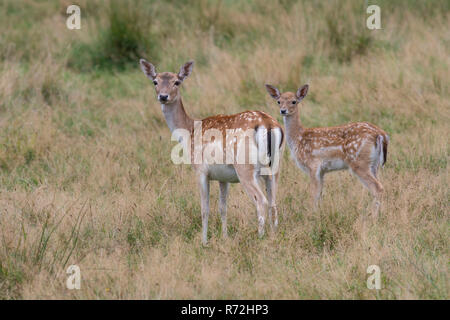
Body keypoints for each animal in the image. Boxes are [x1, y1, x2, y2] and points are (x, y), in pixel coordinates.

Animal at [140, 59, 284, 245]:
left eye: (177, 82)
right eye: (155, 81)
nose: (163, 96)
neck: (189, 131)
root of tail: (268, 124)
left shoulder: (200, 170)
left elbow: (205, 208)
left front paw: (204, 242)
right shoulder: (223, 177)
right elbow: (223, 207)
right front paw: (225, 237)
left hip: (245, 167)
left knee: (261, 201)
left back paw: (260, 237)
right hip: (274, 168)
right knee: (273, 202)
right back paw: (274, 237)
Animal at [266, 84, 388, 216]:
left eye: (294, 101)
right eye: (278, 101)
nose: (283, 110)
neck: (298, 138)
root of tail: (380, 134)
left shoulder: (313, 165)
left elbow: (314, 194)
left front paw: (312, 214)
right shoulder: (322, 171)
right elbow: (320, 194)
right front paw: (318, 213)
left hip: (359, 162)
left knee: (378, 188)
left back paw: (373, 216)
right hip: (374, 164)